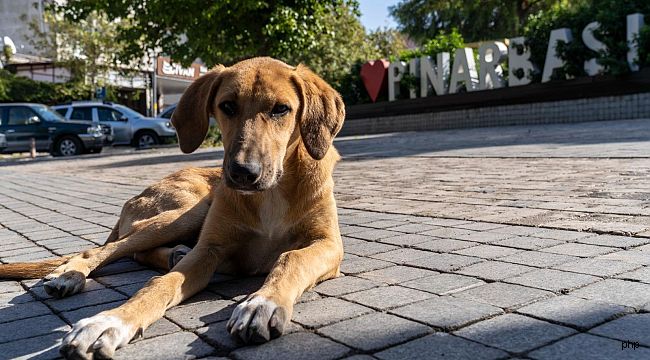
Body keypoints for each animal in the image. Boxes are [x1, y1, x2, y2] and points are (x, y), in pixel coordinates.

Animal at [0, 57, 344, 358]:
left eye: (281, 109)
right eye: (227, 106)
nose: (242, 173)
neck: (272, 193)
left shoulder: (329, 244)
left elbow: (291, 259)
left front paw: (263, 303)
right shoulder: (208, 249)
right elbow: (159, 285)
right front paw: (107, 322)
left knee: (137, 253)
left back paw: (171, 254)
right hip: (186, 213)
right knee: (106, 250)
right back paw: (70, 274)